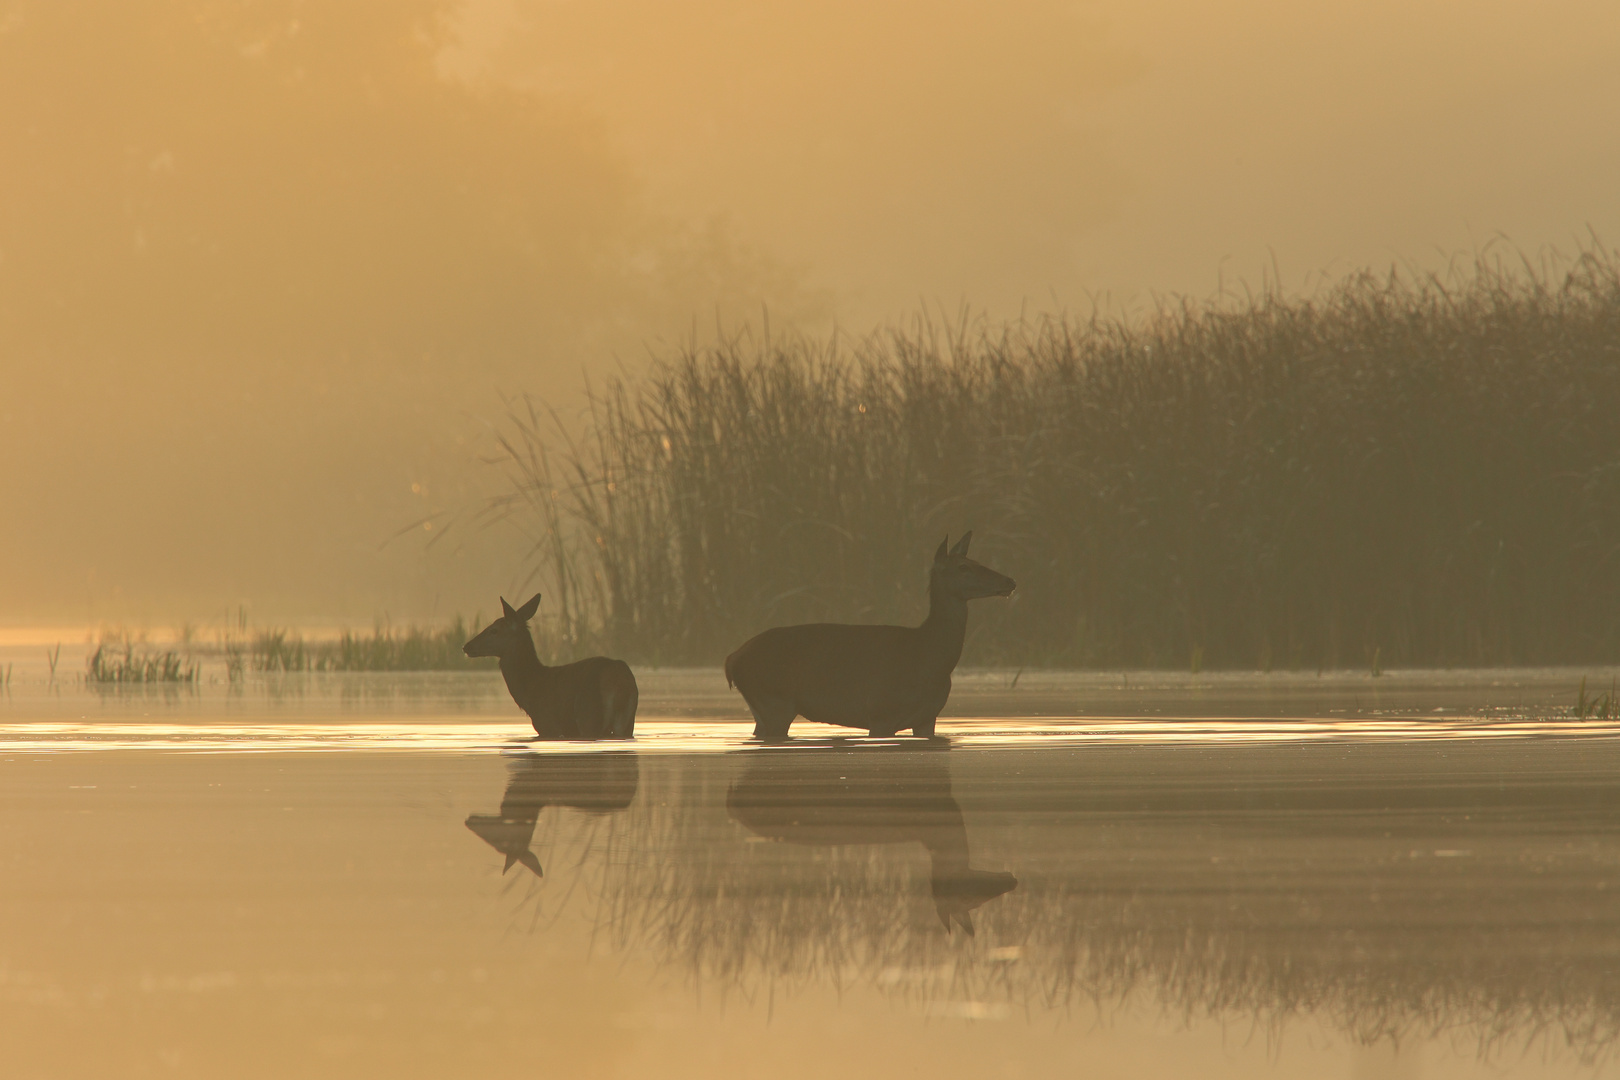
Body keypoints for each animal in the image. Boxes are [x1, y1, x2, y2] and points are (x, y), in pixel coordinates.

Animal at [463, 595, 638, 738]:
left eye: (494, 630)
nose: (467, 646)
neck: (531, 688)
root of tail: (620, 679)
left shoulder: (547, 724)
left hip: (589, 715)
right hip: (626, 722)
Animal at [725, 534, 1010, 744]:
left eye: (975, 560)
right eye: (963, 566)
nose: (1010, 581)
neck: (927, 656)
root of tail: (733, 658)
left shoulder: (928, 718)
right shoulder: (881, 712)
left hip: (762, 707)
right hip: (775, 700)